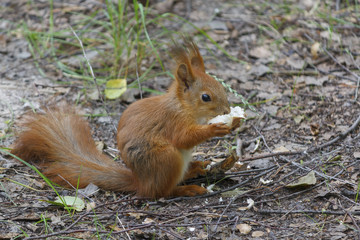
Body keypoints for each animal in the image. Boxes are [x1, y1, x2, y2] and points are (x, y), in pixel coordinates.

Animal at [11, 38, 233, 199]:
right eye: (206, 97)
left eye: (220, 86)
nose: (227, 109)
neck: (183, 106)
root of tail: (140, 181)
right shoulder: (173, 121)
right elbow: (183, 138)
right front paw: (216, 129)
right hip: (166, 158)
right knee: (160, 192)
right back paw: (185, 189)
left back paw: (195, 168)